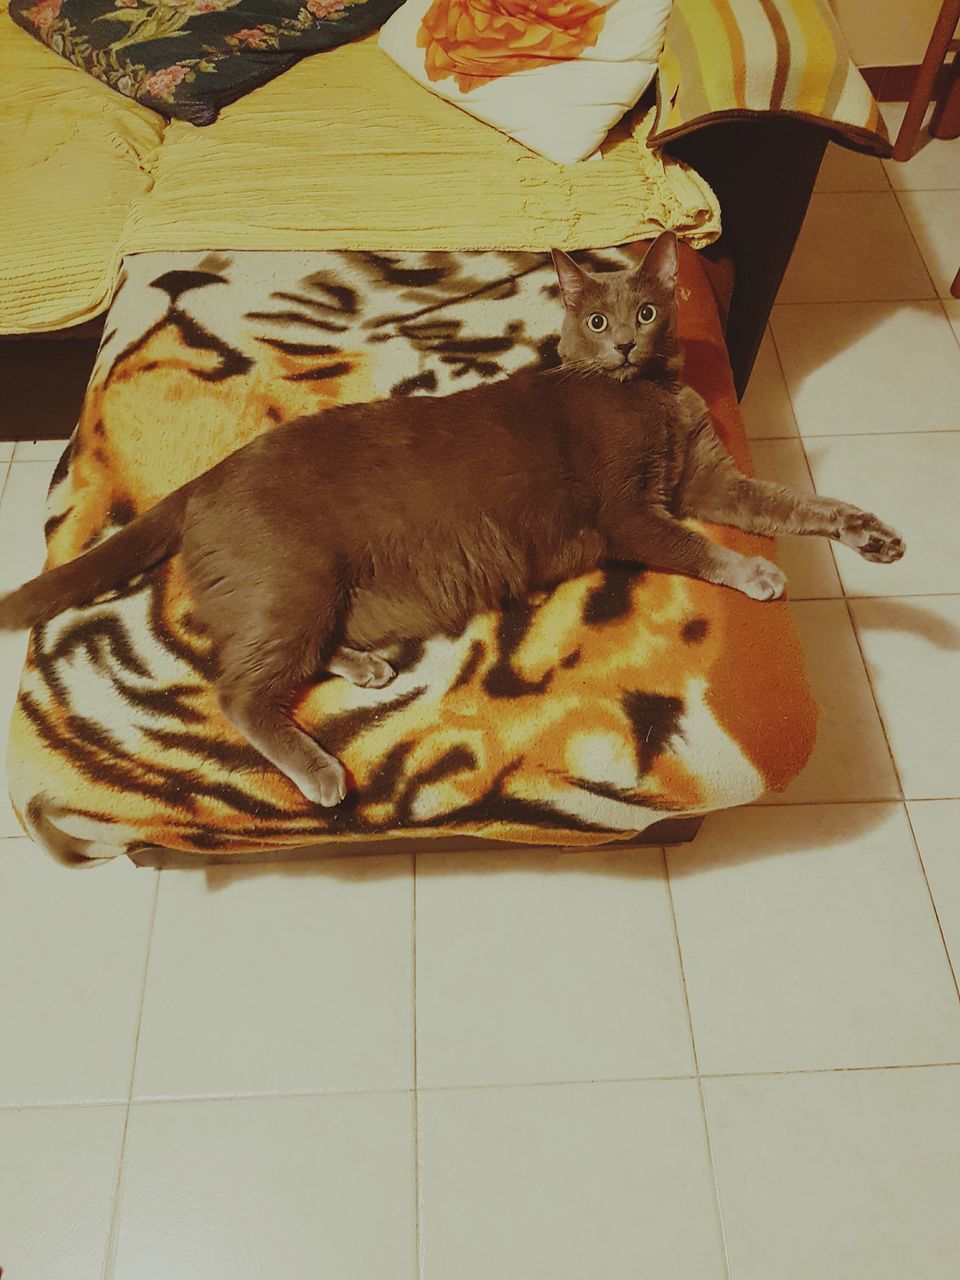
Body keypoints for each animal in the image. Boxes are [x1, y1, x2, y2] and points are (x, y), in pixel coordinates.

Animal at [0, 231, 906, 803]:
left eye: (645, 313)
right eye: (596, 319)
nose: (621, 344)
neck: (651, 397)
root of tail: (205, 478)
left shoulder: (710, 482)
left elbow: (795, 504)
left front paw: (873, 534)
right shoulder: (634, 514)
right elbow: (697, 547)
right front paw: (756, 572)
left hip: (313, 596)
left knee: (268, 660)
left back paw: (364, 668)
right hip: (296, 579)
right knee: (235, 689)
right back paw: (322, 772)